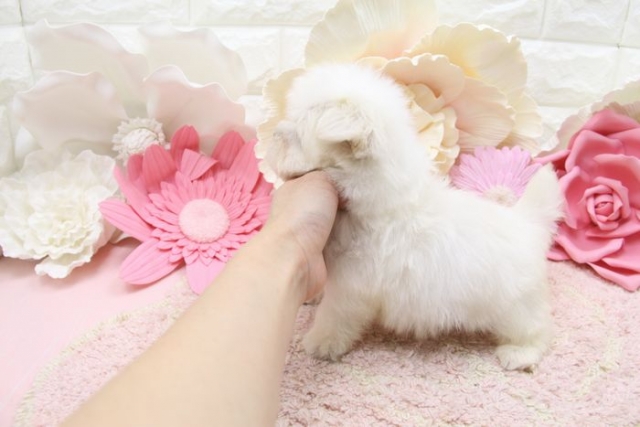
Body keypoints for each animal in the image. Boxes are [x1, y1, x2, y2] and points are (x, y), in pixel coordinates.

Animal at [264, 63, 563, 371]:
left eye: (299, 132)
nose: (274, 133)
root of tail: (527, 223)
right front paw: (313, 296)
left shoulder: (352, 288)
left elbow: (334, 316)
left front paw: (320, 343)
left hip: (514, 304)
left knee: (536, 328)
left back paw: (520, 353)